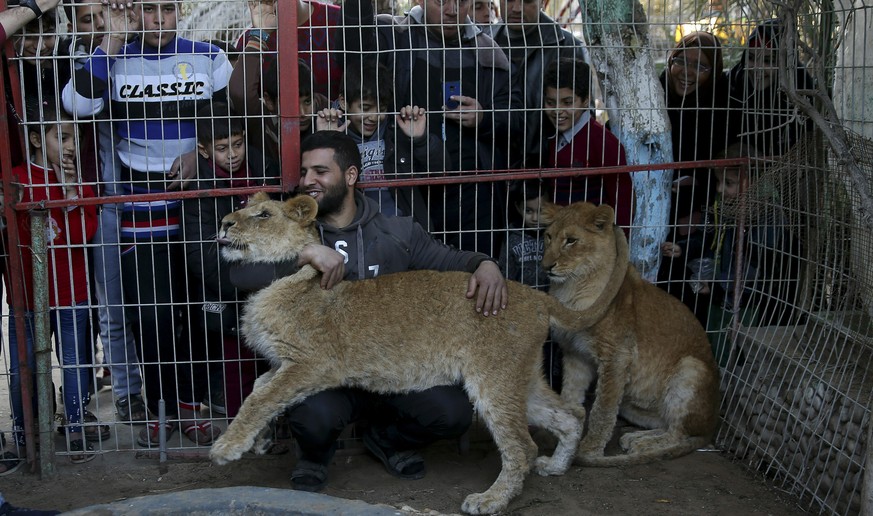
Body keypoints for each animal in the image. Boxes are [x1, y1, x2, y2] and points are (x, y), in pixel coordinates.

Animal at [206, 195, 628, 516]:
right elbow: (259, 388)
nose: (223, 223)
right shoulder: (286, 364)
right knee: (570, 415)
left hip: (493, 379)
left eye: (263, 214)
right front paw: (259, 441)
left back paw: (489, 501)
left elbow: (261, 398)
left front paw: (228, 447)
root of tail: (537, 297)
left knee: (522, 447)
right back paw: (555, 466)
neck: (278, 279)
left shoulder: (313, 363)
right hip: (520, 379)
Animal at [540, 203, 720, 468]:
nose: (546, 266)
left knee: (680, 433)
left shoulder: (616, 357)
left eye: (571, 240)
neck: (572, 289)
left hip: (691, 367)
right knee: (667, 425)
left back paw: (644, 445)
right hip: (631, 405)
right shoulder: (575, 355)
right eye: (549, 237)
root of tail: (711, 427)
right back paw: (635, 438)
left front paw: (589, 449)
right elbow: (570, 396)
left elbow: (602, 411)